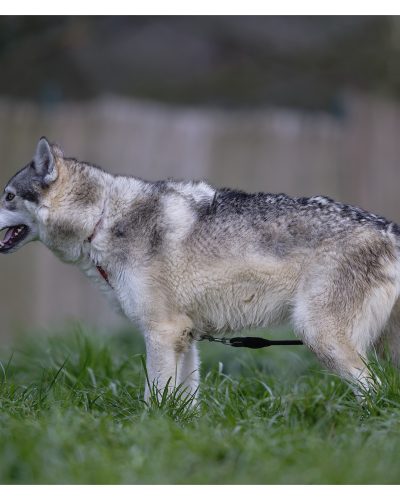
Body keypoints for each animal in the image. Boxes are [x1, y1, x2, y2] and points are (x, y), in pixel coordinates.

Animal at [0, 138, 400, 398]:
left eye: (7, 196)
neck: (101, 218)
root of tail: (388, 229)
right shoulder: (186, 336)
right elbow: (184, 401)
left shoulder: (161, 332)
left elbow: (155, 396)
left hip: (319, 335)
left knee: (375, 392)